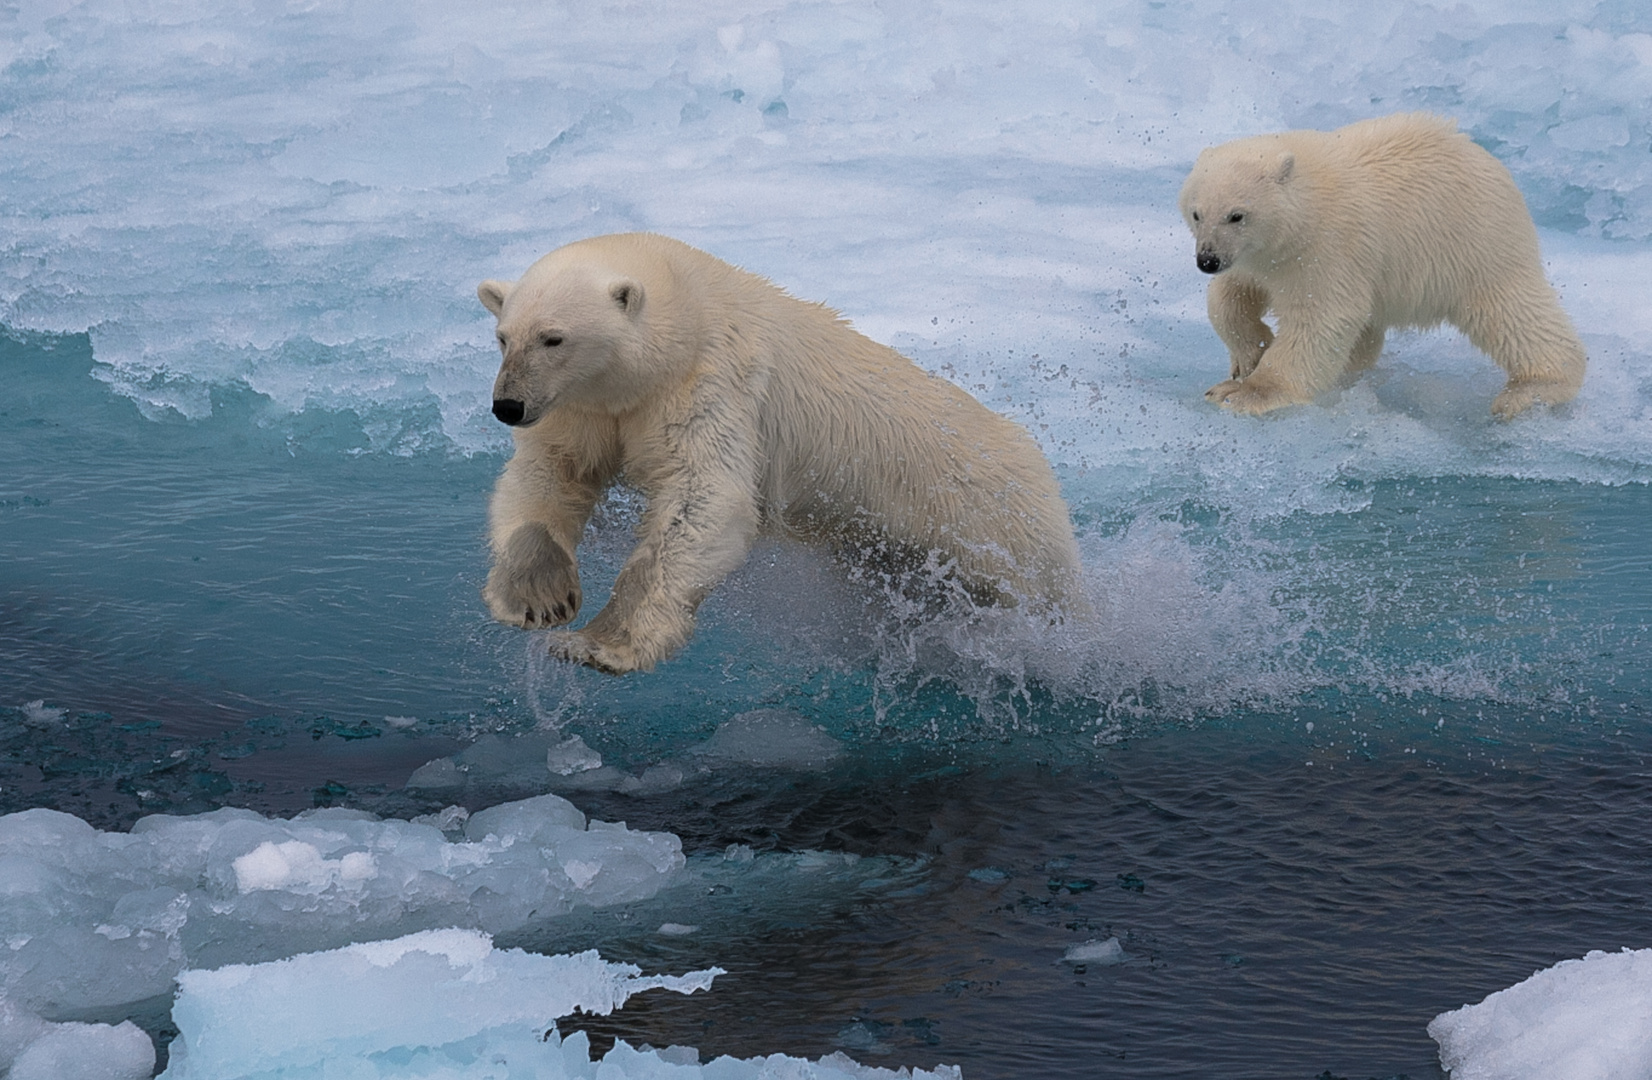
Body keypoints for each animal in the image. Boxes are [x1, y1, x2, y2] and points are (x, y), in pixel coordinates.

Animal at [479, 236, 1090, 673]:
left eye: (554, 337)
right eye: (503, 337)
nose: (507, 405)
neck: (687, 307)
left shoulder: (711, 382)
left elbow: (705, 499)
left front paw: (598, 645)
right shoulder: (583, 407)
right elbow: (552, 473)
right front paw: (539, 600)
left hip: (998, 524)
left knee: (1042, 592)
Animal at [1176, 113, 1585, 419]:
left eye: (1236, 215)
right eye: (1196, 213)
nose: (1207, 260)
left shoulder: (1328, 246)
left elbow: (1322, 317)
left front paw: (1244, 393)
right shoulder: (1258, 257)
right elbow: (1231, 296)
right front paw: (1250, 355)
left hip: (1478, 249)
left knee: (1514, 318)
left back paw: (1533, 389)